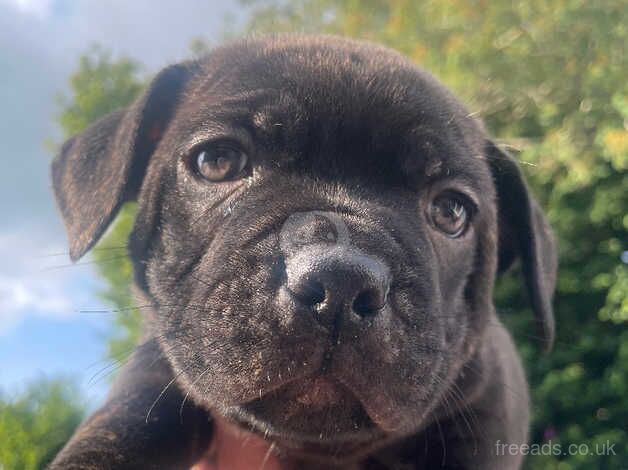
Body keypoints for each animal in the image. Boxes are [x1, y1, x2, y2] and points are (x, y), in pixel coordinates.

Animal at [51, 35, 556, 468]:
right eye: (217, 161)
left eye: (451, 211)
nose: (341, 279)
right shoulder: (154, 370)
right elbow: (123, 424)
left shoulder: (486, 415)